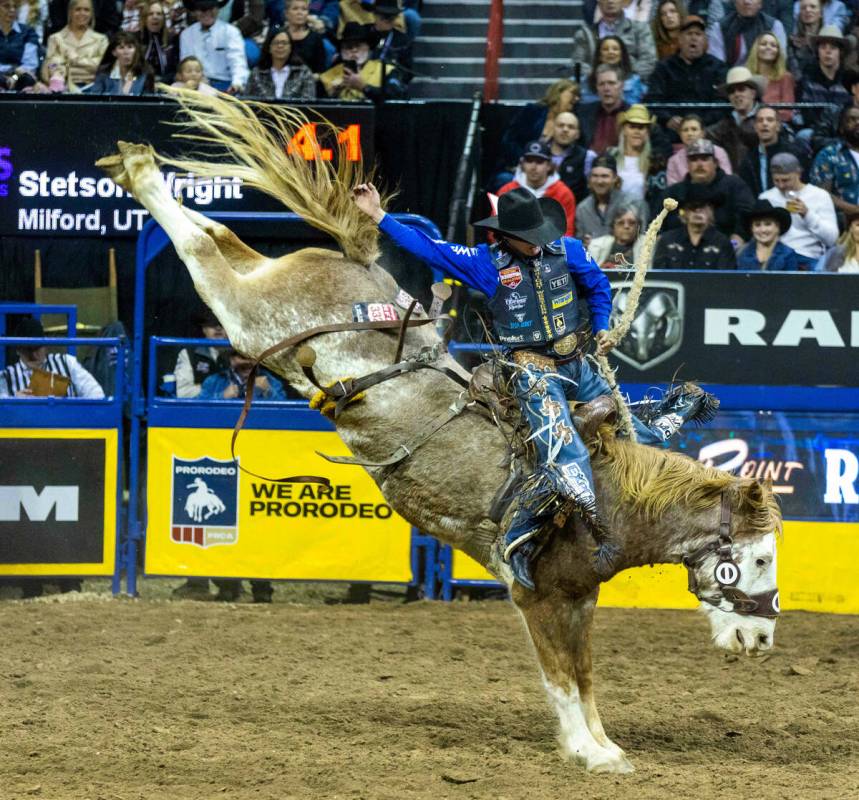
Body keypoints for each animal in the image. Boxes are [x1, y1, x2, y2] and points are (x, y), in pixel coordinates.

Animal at [97, 92, 784, 776]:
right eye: (757, 558)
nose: (760, 639)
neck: (608, 498)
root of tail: (359, 260)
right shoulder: (538, 595)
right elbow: (561, 676)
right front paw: (588, 750)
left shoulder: (579, 597)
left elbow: (585, 675)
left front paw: (602, 745)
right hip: (254, 318)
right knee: (201, 251)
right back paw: (139, 168)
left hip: (266, 303)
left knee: (222, 238)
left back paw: (136, 165)